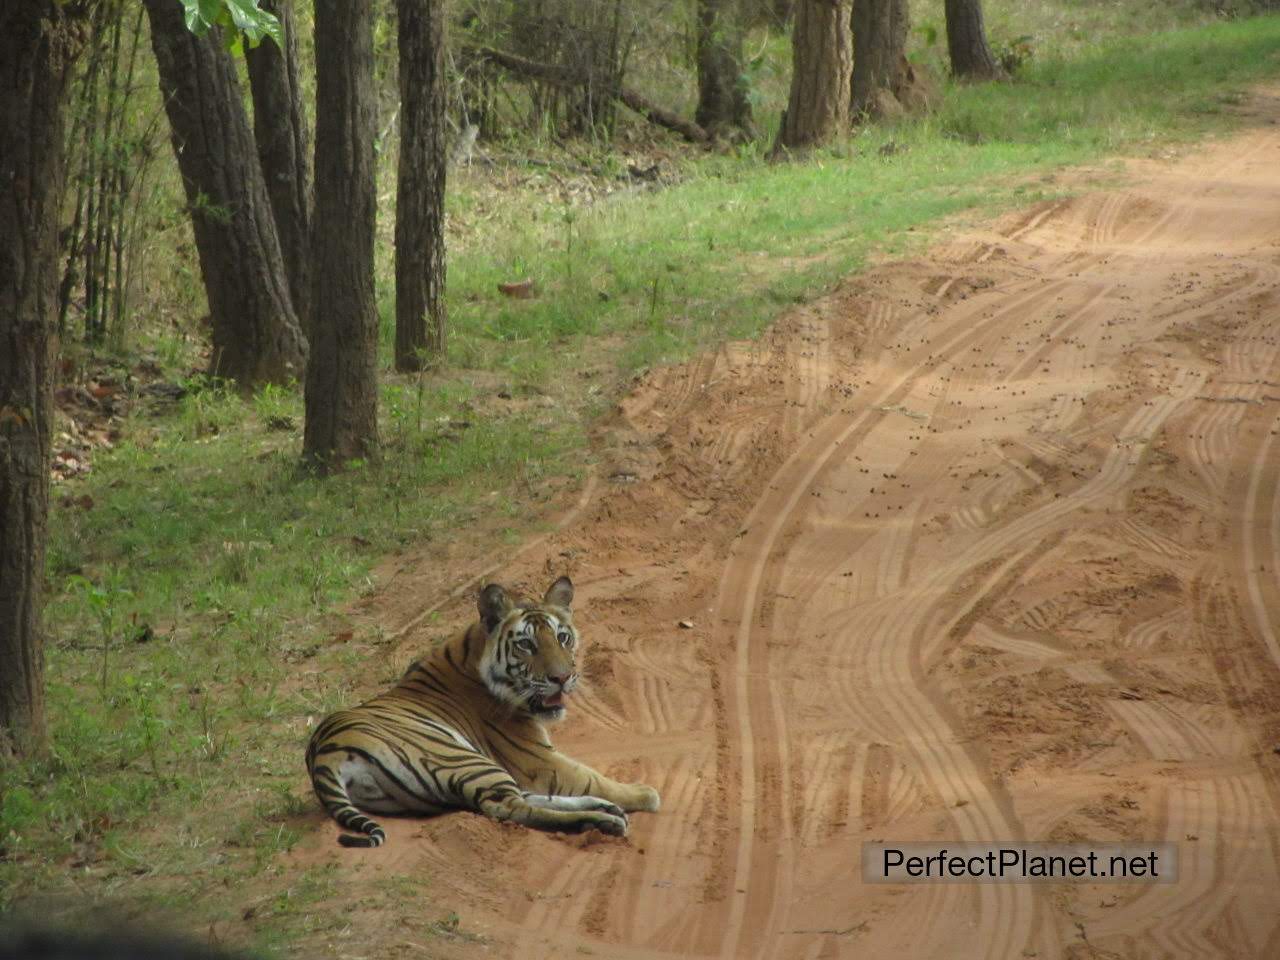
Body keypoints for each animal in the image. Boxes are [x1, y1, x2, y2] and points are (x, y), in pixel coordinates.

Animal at [307, 576, 660, 844]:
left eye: (563, 638)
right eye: (526, 645)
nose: (562, 678)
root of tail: (324, 755)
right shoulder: (538, 760)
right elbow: (590, 776)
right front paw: (643, 793)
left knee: (521, 798)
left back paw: (606, 810)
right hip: (463, 758)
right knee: (512, 808)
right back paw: (603, 820)